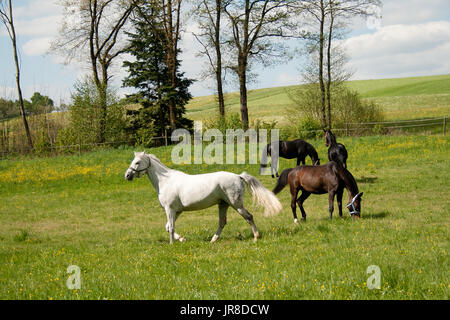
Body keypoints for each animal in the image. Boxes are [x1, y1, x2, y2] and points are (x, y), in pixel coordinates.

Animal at [124, 151, 282, 244]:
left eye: (137, 162)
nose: (127, 175)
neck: (165, 181)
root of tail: (238, 176)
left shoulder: (170, 209)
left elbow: (171, 228)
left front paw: (172, 244)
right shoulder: (177, 211)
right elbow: (168, 227)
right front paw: (182, 239)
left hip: (236, 204)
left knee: (249, 216)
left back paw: (256, 237)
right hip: (223, 204)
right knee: (222, 222)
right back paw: (213, 240)